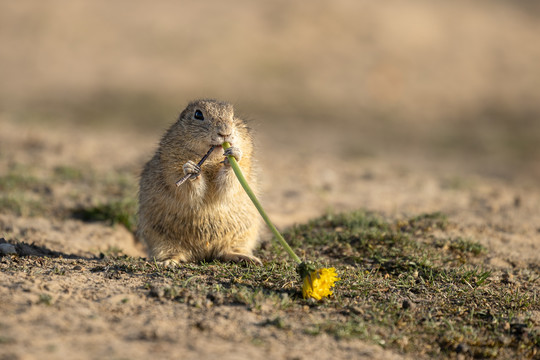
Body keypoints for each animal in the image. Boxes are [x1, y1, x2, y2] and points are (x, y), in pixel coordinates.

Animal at [136, 100, 260, 266]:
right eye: (198, 114)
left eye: (233, 116)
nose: (225, 133)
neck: (210, 160)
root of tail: (204, 253)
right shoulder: (171, 166)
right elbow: (186, 188)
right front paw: (190, 169)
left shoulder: (245, 167)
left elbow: (231, 183)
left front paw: (233, 155)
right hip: (159, 238)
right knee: (172, 252)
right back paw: (168, 261)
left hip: (244, 234)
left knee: (225, 252)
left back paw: (246, 257)